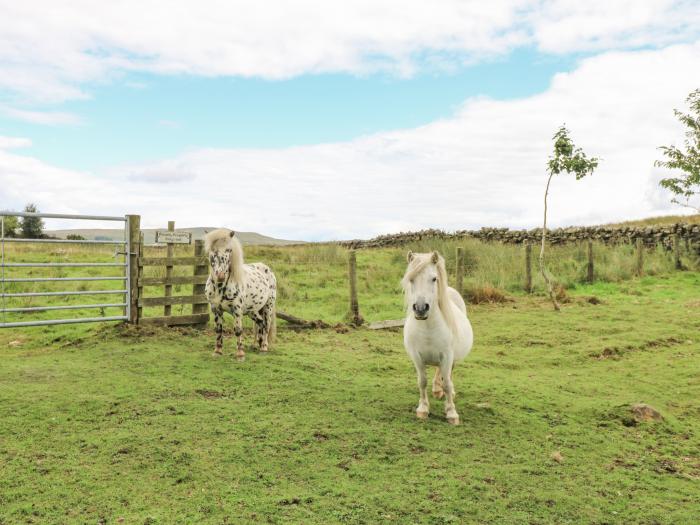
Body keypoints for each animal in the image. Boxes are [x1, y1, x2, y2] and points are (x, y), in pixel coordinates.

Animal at [202, 229, 276, 360]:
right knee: (260, 323)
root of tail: (267, 268)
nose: (220, 276)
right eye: (212, 250)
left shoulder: (237, 310)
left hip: (268, 306)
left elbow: (237, 330)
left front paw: (240, 354)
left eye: (229, 250)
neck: (220, 287)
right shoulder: (216, 309)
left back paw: (264, 347)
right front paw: (218, 351)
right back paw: (259, 344)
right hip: (253, 310)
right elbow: (218, 330)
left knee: (266, 325)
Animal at [402, 248, 474, 424]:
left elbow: (447, 382)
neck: (427, 327)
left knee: (448, 375)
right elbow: (422, 382)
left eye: (434, 278)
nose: (421, 308)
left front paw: (451, 412)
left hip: (451, 358)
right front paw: (422, 409)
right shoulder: (417, 357)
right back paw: (436, 390)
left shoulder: (447, 356)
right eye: (411, 279)